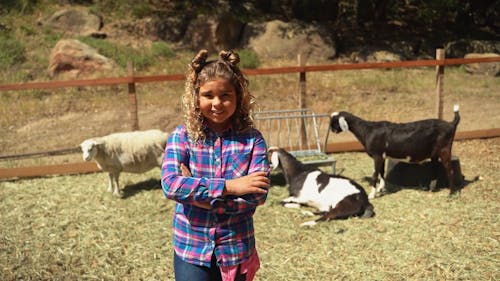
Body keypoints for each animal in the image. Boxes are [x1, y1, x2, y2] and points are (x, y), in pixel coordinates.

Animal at [328, 104, 460, 198]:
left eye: (334, 121)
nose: (332, 130)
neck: (367, 130)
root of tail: (451, 124)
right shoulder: (382, 156)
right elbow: (381, 172)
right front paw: (380, 189)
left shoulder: (377, 155)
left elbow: (375, 174)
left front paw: (371, 194)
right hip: (435, 154)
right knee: (435, 168)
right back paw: (432, 188)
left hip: (445, 149)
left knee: (450, 170)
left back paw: (451, 194)